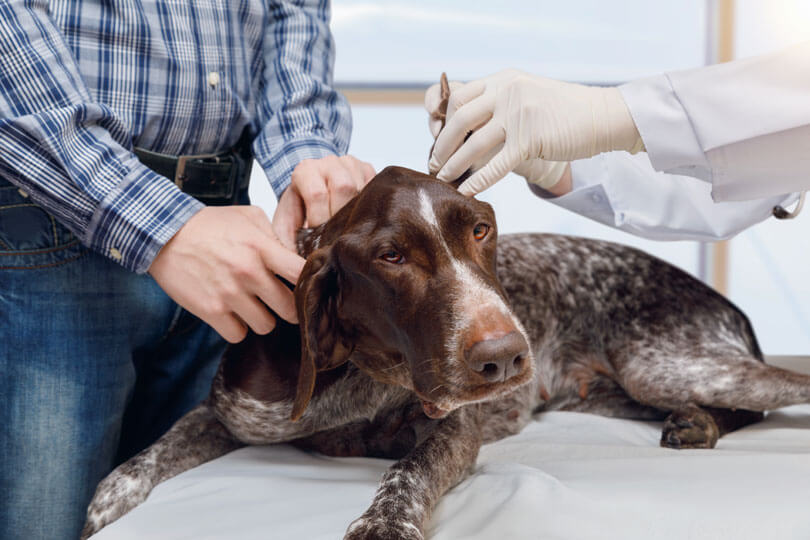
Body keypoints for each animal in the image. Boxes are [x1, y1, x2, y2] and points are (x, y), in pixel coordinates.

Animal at [80, 161, 808, 540]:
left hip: (664, 362)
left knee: (780, 390)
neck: (364, 369)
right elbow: (145, 457)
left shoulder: (456, 428)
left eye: (482, 230)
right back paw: (695, 423)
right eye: (391, 256)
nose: (507, 355)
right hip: (623, 389)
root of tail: (728, 307)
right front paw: (102, 506)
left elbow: (409, 471)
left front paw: (383, 524)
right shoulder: (231, 415)